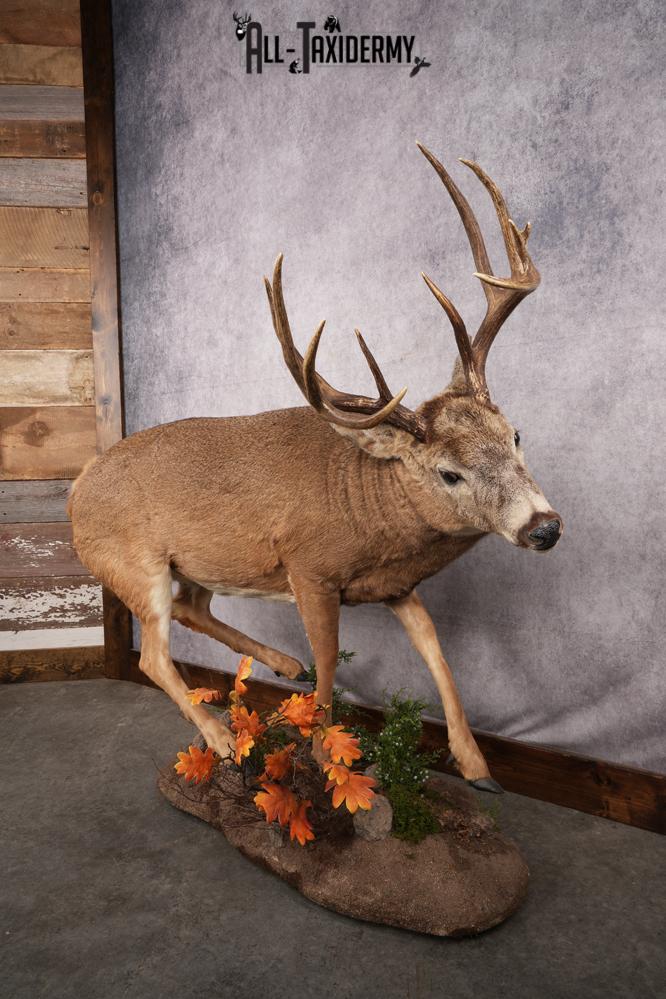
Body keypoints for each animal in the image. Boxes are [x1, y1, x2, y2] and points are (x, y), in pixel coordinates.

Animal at [68, 143, 562, 794]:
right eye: (448, 472)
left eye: (516, 435)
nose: (544, 526)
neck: (374, 509)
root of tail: (73, 494)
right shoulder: (310, 569)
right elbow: (332, 662)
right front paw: (326, 755)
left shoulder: (397, 585)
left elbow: (437, 651)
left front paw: (478, 767)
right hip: (130, 561)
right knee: (154, 652)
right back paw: (223, 738)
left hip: (196, 562)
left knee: (192, 607)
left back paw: (282, 667)